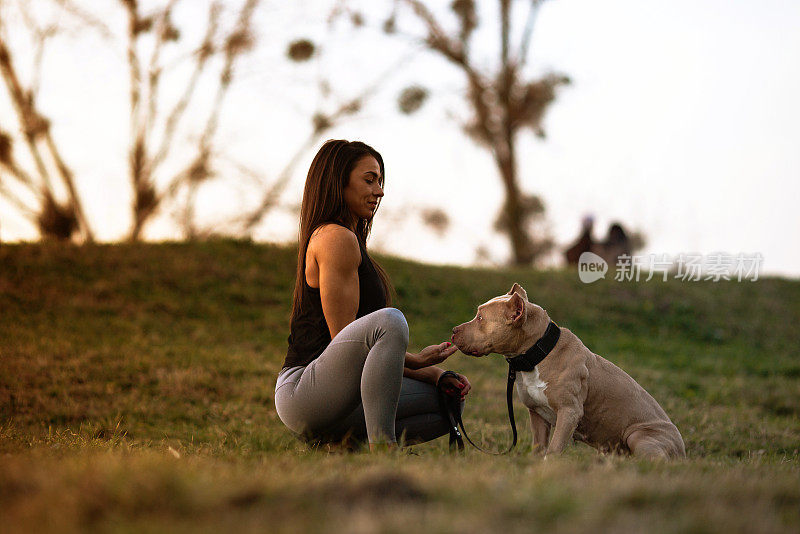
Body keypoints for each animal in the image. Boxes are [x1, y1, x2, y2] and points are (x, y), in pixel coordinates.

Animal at [454, 284, 684, 460]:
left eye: (480, 318)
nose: (454, 330)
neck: (539, 353)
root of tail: (683, 451)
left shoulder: (569, 412)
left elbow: (553, 450)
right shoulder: (537, 414)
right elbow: (539, 448)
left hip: (639, 436)